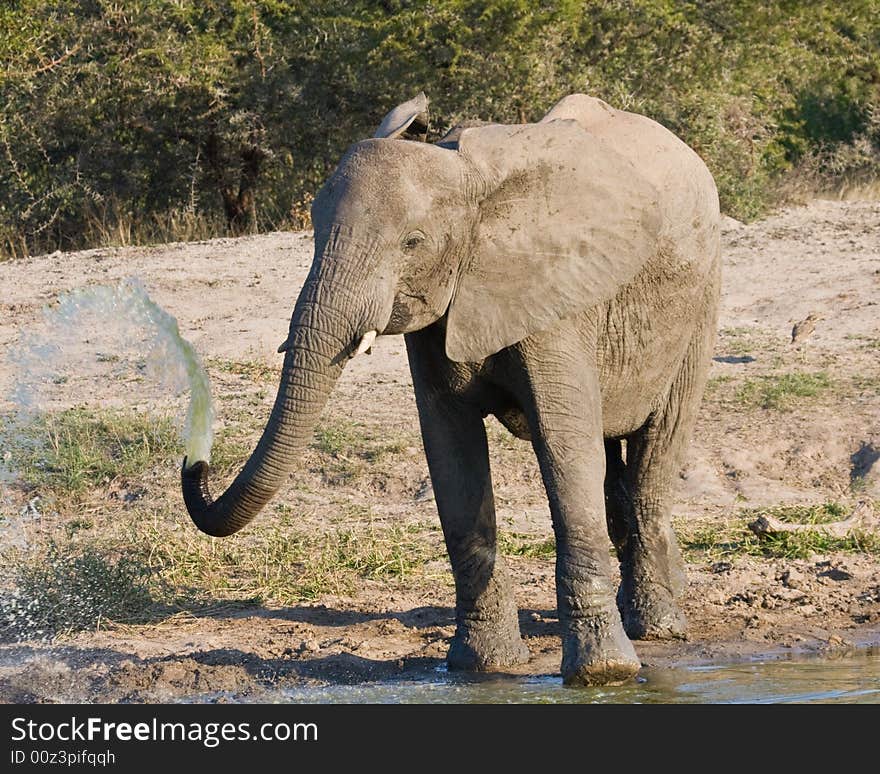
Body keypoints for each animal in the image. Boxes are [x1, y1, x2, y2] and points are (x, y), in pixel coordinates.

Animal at [180, 92, 720, 684]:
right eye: (316, 232)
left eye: (413, 242)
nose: (195, 464)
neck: (470, 181)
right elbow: (451, 453)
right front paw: (481, 668)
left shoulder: (559, 296)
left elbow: (566, 449)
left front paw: (603, 675)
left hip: (699, 305)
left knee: (655, 453)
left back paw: (658, 626)